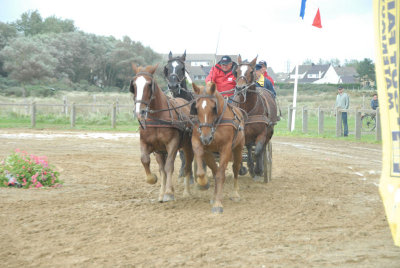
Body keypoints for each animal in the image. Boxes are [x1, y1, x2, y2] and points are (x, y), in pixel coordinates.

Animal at [130, 62, 193, 201]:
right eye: (134, 85)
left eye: (149, 84)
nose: (139, 111)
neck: (158, 118)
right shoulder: (150, 146)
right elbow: (146, 161)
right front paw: (154, 181)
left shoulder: (172, 144)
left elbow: (169, 166)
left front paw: (169, 192)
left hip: (187, 146)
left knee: (187, 165)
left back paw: (187, 191)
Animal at [191, 82, 245, 214]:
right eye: (196, 108)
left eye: (213, 107)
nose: (206, 137)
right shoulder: (200, 144)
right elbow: (203, 172)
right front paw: (203, 184)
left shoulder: (226, 148)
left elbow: (221, 175)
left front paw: (218, 204)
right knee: (216, 170)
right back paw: (214, 195)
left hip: (238, 148)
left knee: (235, 168)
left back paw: (235, 194)